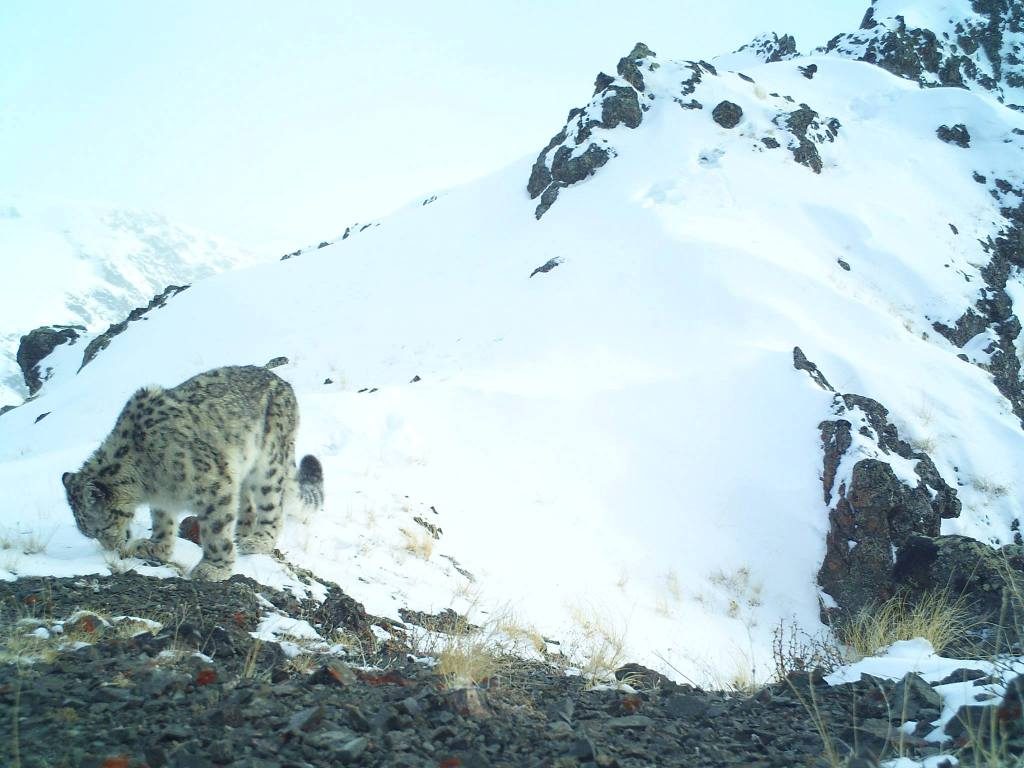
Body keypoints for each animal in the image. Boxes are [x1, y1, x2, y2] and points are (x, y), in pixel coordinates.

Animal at [62, 368, 323, 581]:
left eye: (100, 529)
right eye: (90, 533)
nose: (111, 549)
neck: (148, 482)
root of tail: (285, 384)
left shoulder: (215, 484)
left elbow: (215, 529)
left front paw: (213, 568)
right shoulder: (162, 498)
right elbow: (162, 520)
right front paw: (156, 547)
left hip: (269, 462)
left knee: (272, 505)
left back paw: (258, 539)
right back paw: (241, 532)